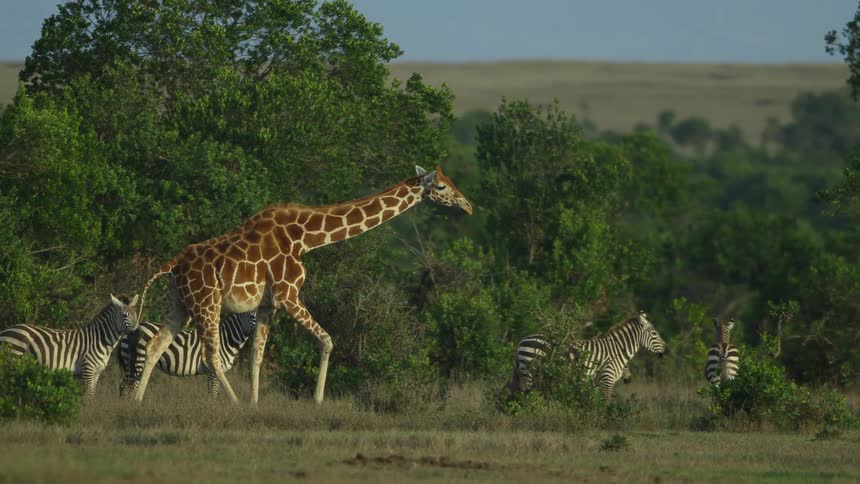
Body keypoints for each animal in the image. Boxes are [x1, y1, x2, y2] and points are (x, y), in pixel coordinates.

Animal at [0, 294, 139, 398]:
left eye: (135, 314)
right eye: (124, 315)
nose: (137, 331)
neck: (100, 340)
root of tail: (6, 330)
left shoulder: (96, 372)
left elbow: (92, 396)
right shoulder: (87, 369)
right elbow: (88, 397)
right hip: (14, 357)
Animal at [118, 311, 257, 398]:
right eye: (252, 316)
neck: (225, 339)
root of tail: (132, 330)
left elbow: (212, 392)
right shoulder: (214, 370)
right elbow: (213, 393)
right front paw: (213, 411)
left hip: (128, 362)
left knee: (124, 386)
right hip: (139, 360)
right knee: (130, 387)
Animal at [133, 165, 472, 404]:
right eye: (441, 186)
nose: (467, 206)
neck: (306, 238)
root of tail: (173, 264)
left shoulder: (268, 304)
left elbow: (256, 357)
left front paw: (256, 406)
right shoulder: (288, 294)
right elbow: (327, 340)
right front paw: (317, 401)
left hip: (179, 304)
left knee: (155, 345)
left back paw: (136, 402)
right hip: (207, 303)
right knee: (211, 357)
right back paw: (234, 403)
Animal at [514, 311, 667, 399]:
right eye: (654, 333)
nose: (666, 350)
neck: (616, 351)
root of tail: (522, 340)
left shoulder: (596, 382)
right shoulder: (607, 379)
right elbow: (606, 402)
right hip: (530, 370)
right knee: (528, 394)